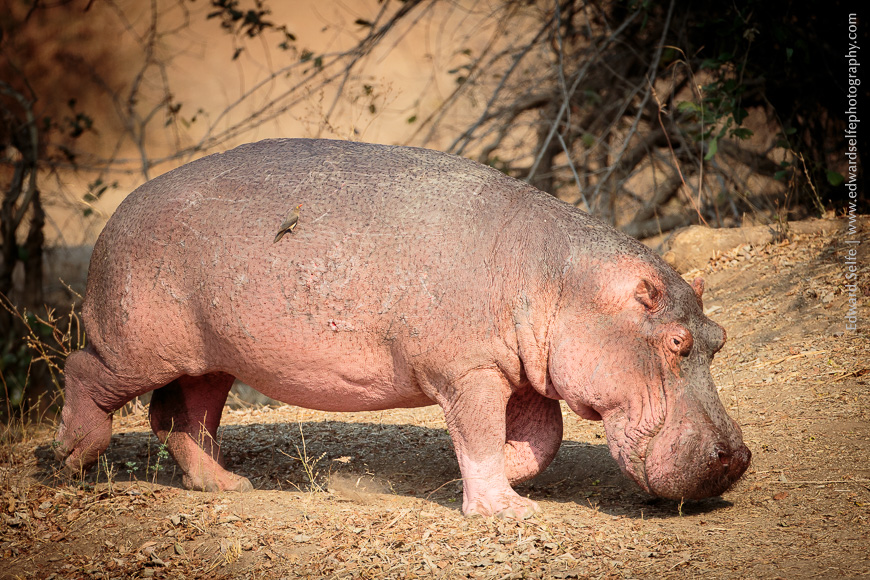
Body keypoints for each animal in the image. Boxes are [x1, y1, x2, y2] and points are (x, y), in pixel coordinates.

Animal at [55, 138, 750, 518]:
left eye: (718, 337)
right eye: (677, 343)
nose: (738, 457)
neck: (562, 280)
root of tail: (118, 210)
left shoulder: (521, 373)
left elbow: (541, 440)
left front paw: (484, 476)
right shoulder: (469, 371)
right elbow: (479, 433)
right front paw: (506, 511)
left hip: (214, 358)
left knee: (183, 417)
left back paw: (228, 485)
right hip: (132, 345)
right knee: (84, 372)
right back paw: (73, 458)